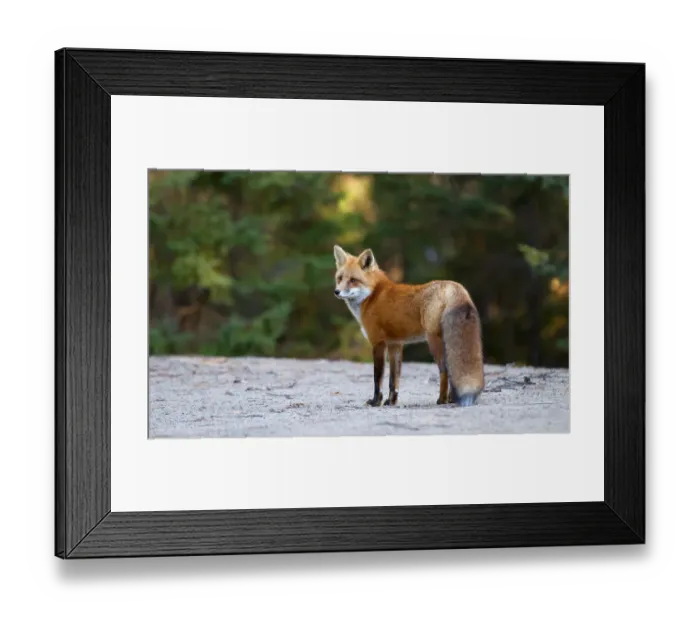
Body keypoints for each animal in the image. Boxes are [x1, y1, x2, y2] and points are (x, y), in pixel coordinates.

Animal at [333, 245, 485, 408]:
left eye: (353, 280)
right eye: (340, 278)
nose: (337, 292)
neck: (372, 296)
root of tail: (454, 287)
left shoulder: (378, 343)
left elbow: (377, 377)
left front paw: (376, 401)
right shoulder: (395, 344)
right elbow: (394, 379)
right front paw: (391, 401)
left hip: (433, 340)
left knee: (444, 369)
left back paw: (442, 399)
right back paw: (450, 398)